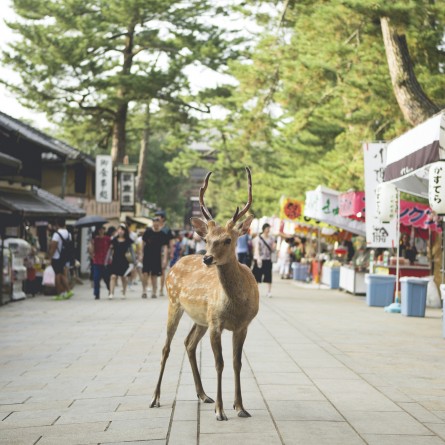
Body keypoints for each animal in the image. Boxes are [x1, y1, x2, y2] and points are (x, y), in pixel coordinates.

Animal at [150, 166, 258, 420]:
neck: (236, 305)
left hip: (200, 319)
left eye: (228, 239)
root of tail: (176, 264)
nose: (207, 258)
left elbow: (237, 363)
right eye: (207, 239)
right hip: (174, 303)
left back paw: (203, 394)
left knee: (188, 343)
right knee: (166, 347)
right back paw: (155, 398)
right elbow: (219, 363)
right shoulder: (216, 323)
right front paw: (221, 411)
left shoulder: (243, 325)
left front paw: (240, 407)